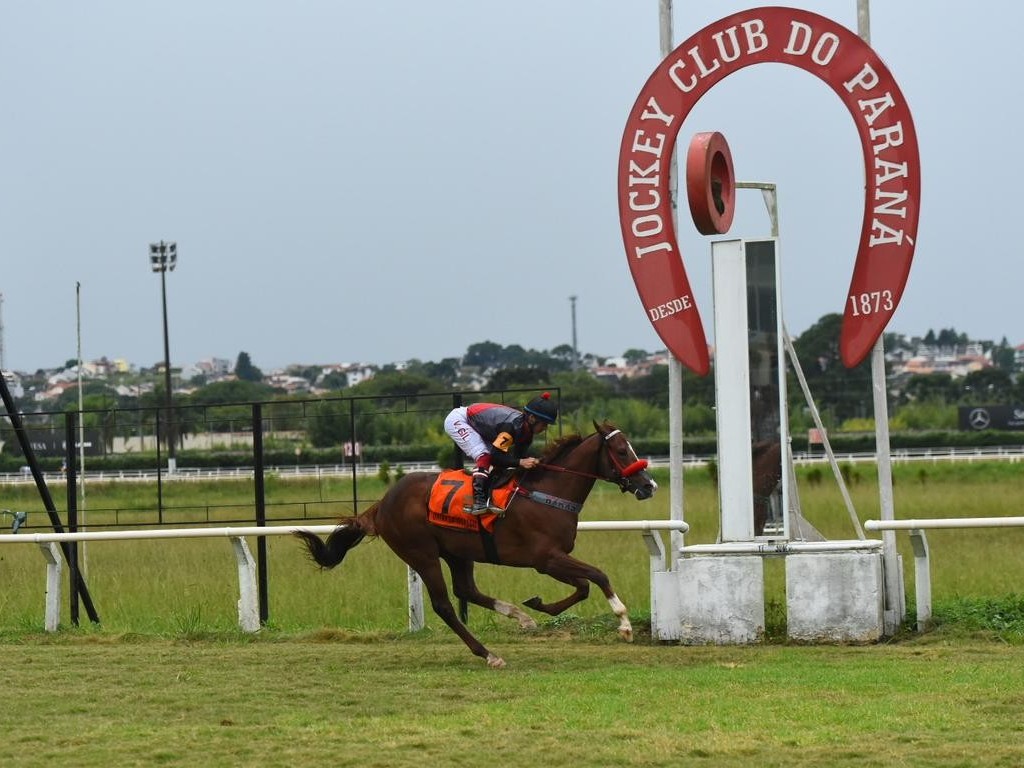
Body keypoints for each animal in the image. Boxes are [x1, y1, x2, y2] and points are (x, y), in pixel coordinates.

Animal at [296, 423, 659, 671]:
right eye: (622, 451)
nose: (649, 485)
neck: (548, 494)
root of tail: (382, 503)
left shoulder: (552, 560)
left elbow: (583, 587)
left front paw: (538, 605)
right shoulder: (546, 559)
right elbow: (596, 576)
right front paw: (625, 625)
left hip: (458, 553)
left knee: (466, 589)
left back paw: (519, 617)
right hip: (422, 553)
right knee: (445, 604)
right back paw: (489, 654)